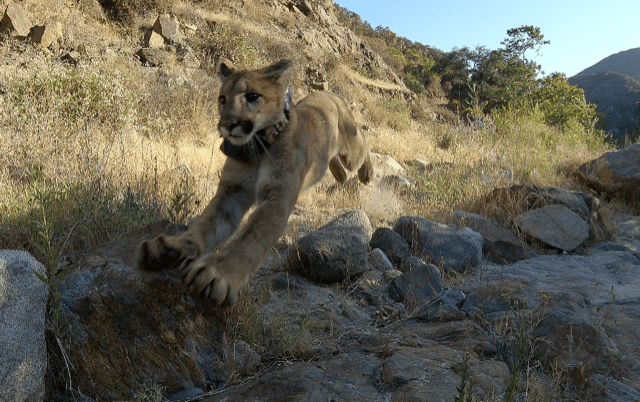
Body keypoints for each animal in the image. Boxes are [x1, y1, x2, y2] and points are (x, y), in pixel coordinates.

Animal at [136, 58, 376, 306]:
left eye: (252, 96)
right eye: (223, 99)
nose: (227, 124)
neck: (258, 147)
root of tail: (329, 92)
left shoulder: (276, 199)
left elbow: (251, 237)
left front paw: (217, 275)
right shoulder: (231, 192)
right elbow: (206, 224)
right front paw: (168, 249)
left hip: (351, 150)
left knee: (363, 143)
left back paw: (366, 173)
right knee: (334, 161)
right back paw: (340, 175)